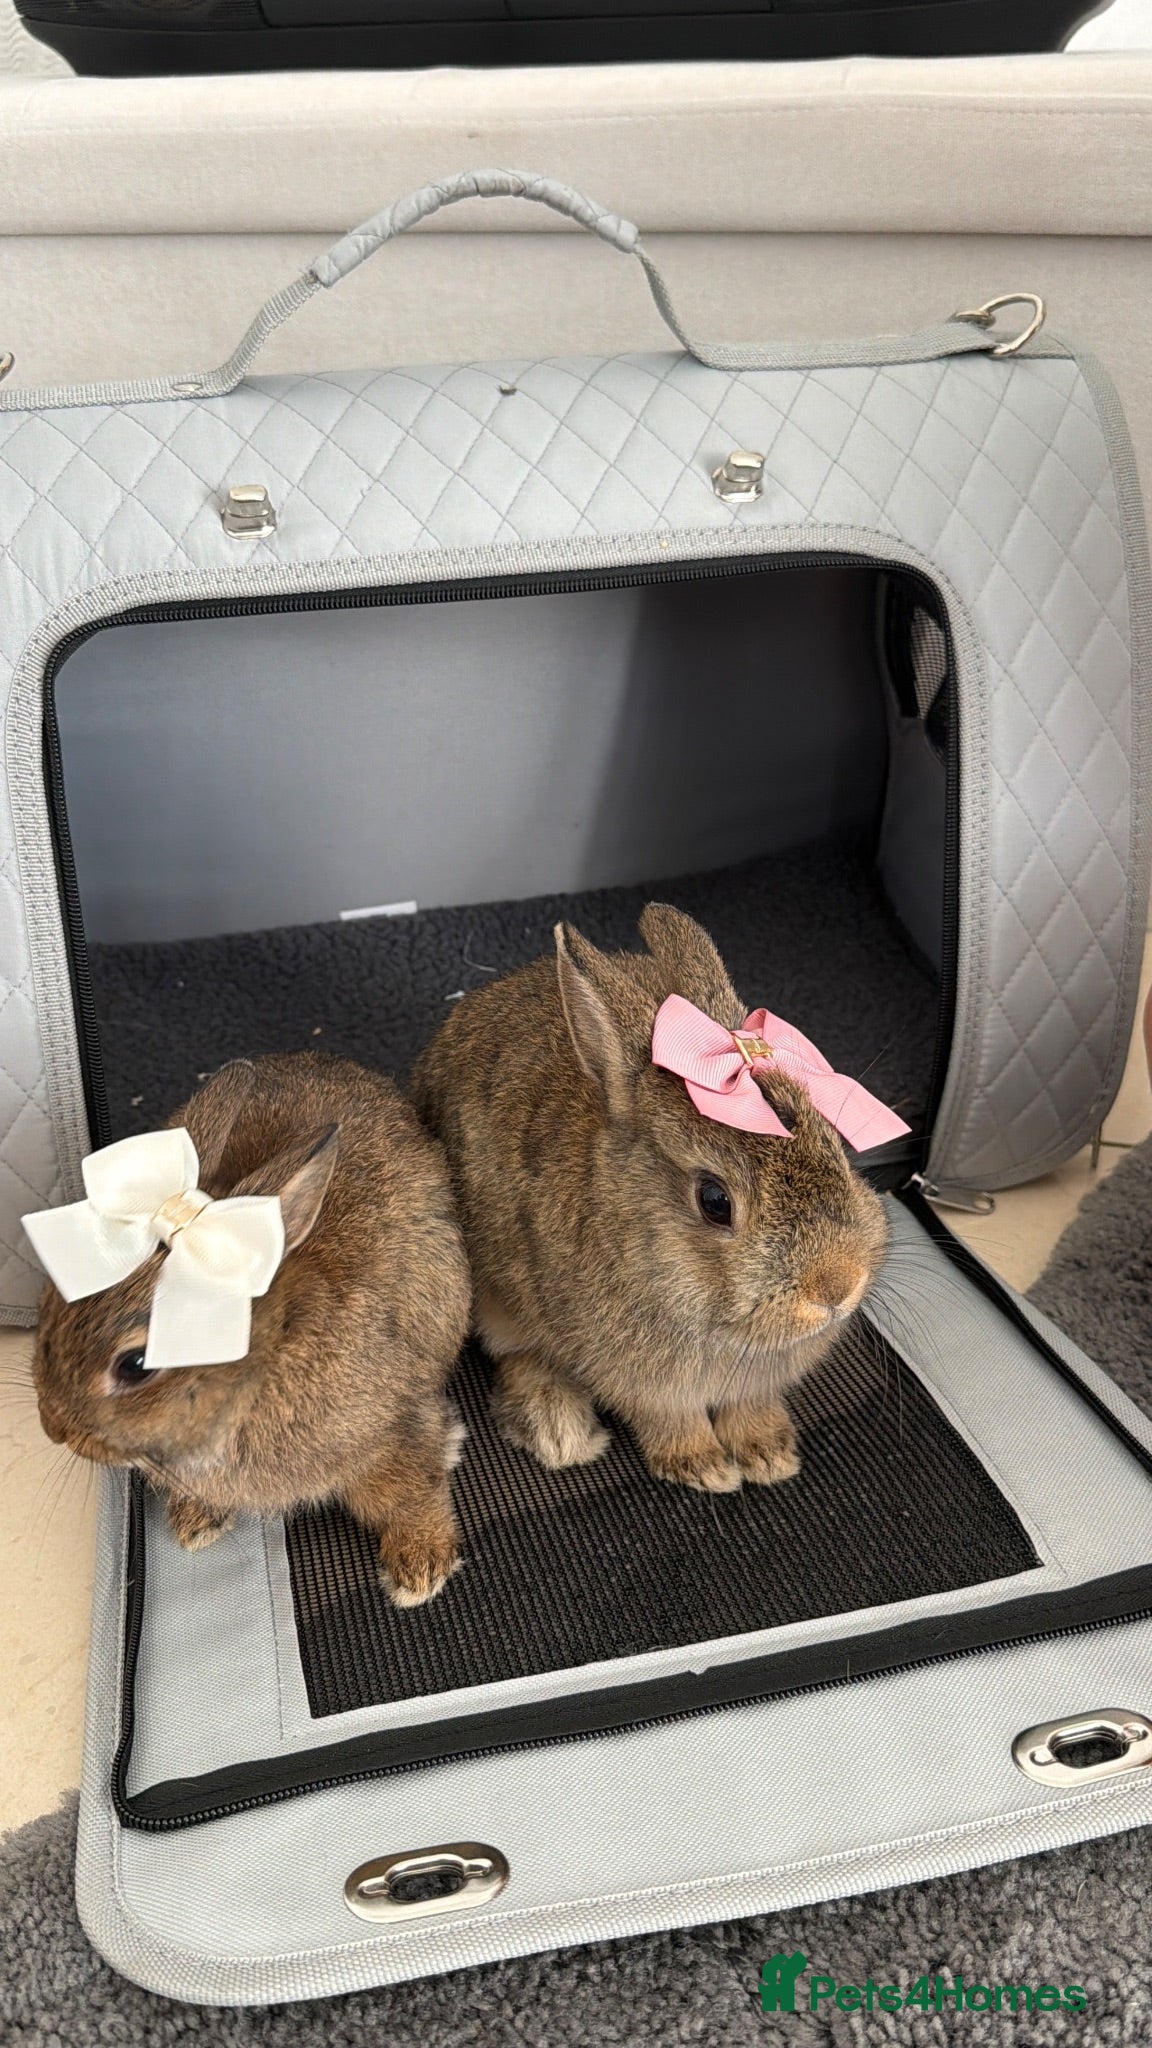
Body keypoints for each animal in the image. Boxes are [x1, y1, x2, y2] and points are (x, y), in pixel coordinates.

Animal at [30, 1052, 470, 1605]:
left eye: (135, 1366)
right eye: (52, 1299)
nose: (54, 1428)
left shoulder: (395, 1430)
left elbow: (413, 1491)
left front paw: (421, 1569)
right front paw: (195, 1523)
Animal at [411, 905, 892, 1495]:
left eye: (837, 1144)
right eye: (715, 1201)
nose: (838, 1287)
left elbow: (750, 1406)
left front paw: (768, 1454)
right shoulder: (637, 1378)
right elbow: (667, 1417)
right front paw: (702, 1467)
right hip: (496, 1301)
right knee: (518, 1353)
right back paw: (559, 1428)